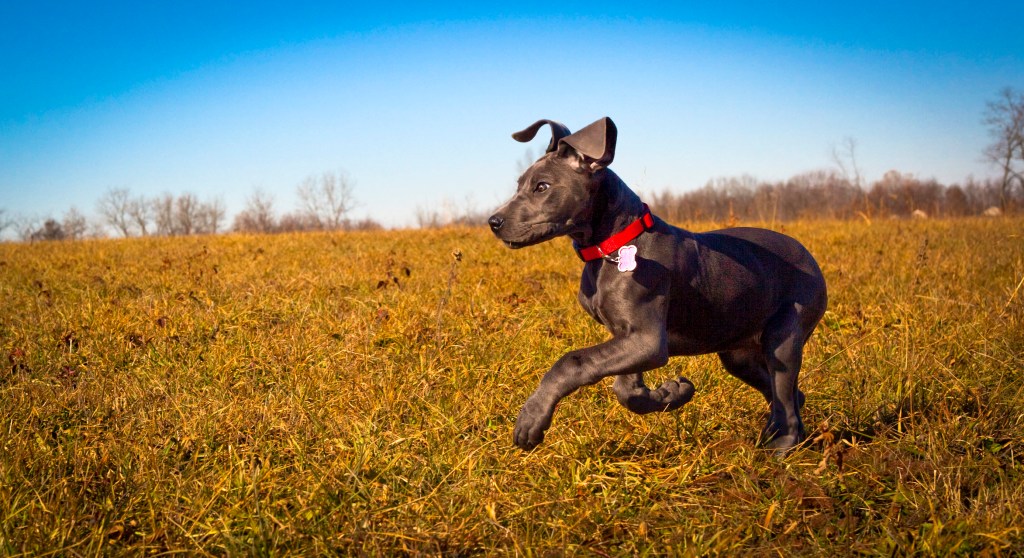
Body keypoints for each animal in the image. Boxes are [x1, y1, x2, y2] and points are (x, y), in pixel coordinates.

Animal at [483, 117, 827, 452]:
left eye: (542, 187)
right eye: (519, 185)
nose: (493, 222)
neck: (611, 247)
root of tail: (809, 256)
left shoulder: (647, 339)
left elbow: (573, 361)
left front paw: (531, 419)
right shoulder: (629, 337)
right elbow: (625, 387)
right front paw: (671, 394)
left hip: (783, 338)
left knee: (785, 401)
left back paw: (778, 449)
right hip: (738, 352)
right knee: (789, 396)